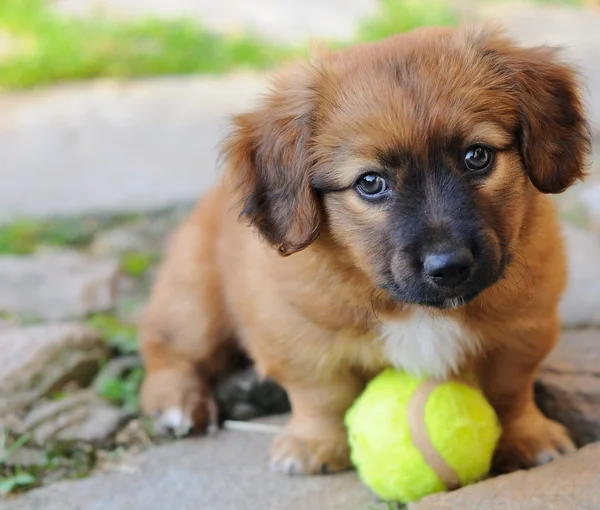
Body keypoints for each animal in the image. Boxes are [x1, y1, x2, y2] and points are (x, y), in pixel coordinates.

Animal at [138, 24, 588, 474]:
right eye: (370, 182)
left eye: (477, 156)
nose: (449, 267)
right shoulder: (297, 332)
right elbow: (322, 394)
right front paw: (314, 444)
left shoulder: (524, 328)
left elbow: (510, 389)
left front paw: (529, 435)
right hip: (194, 300)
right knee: (167, 349)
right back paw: (177, 403)